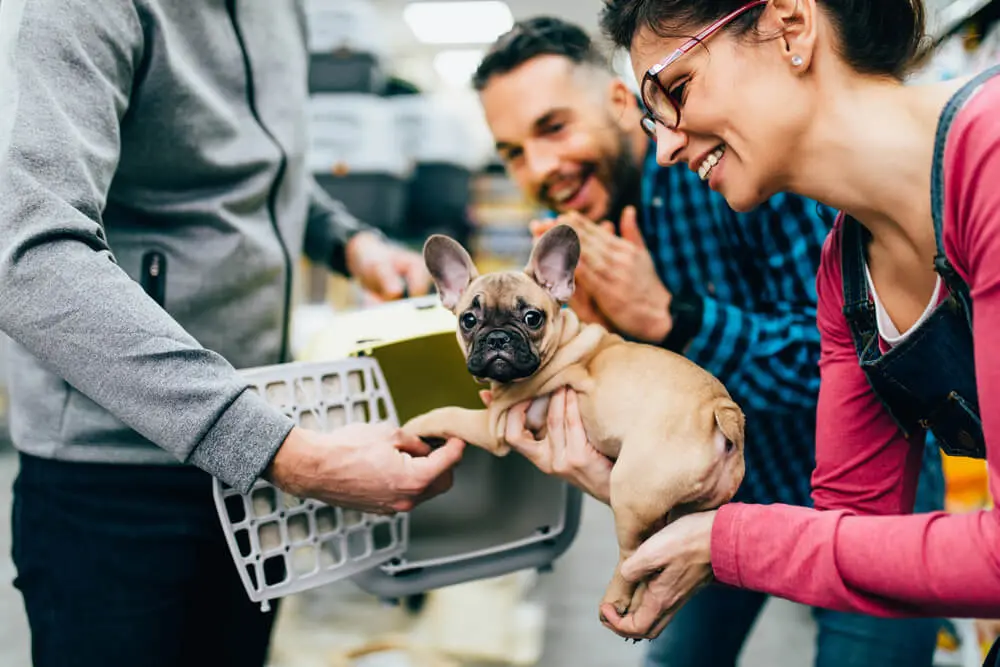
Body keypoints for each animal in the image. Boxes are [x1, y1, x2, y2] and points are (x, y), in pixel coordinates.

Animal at [398, 224, 744, 628]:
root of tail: (719, 409)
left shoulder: (492, 423)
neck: (563, 340)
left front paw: (416, 424)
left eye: (532, 318)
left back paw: (616, 601)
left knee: (632, 558)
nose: (498, 336)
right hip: (689, 507)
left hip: (631, 494)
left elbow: (450, 413)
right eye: (468, 320)